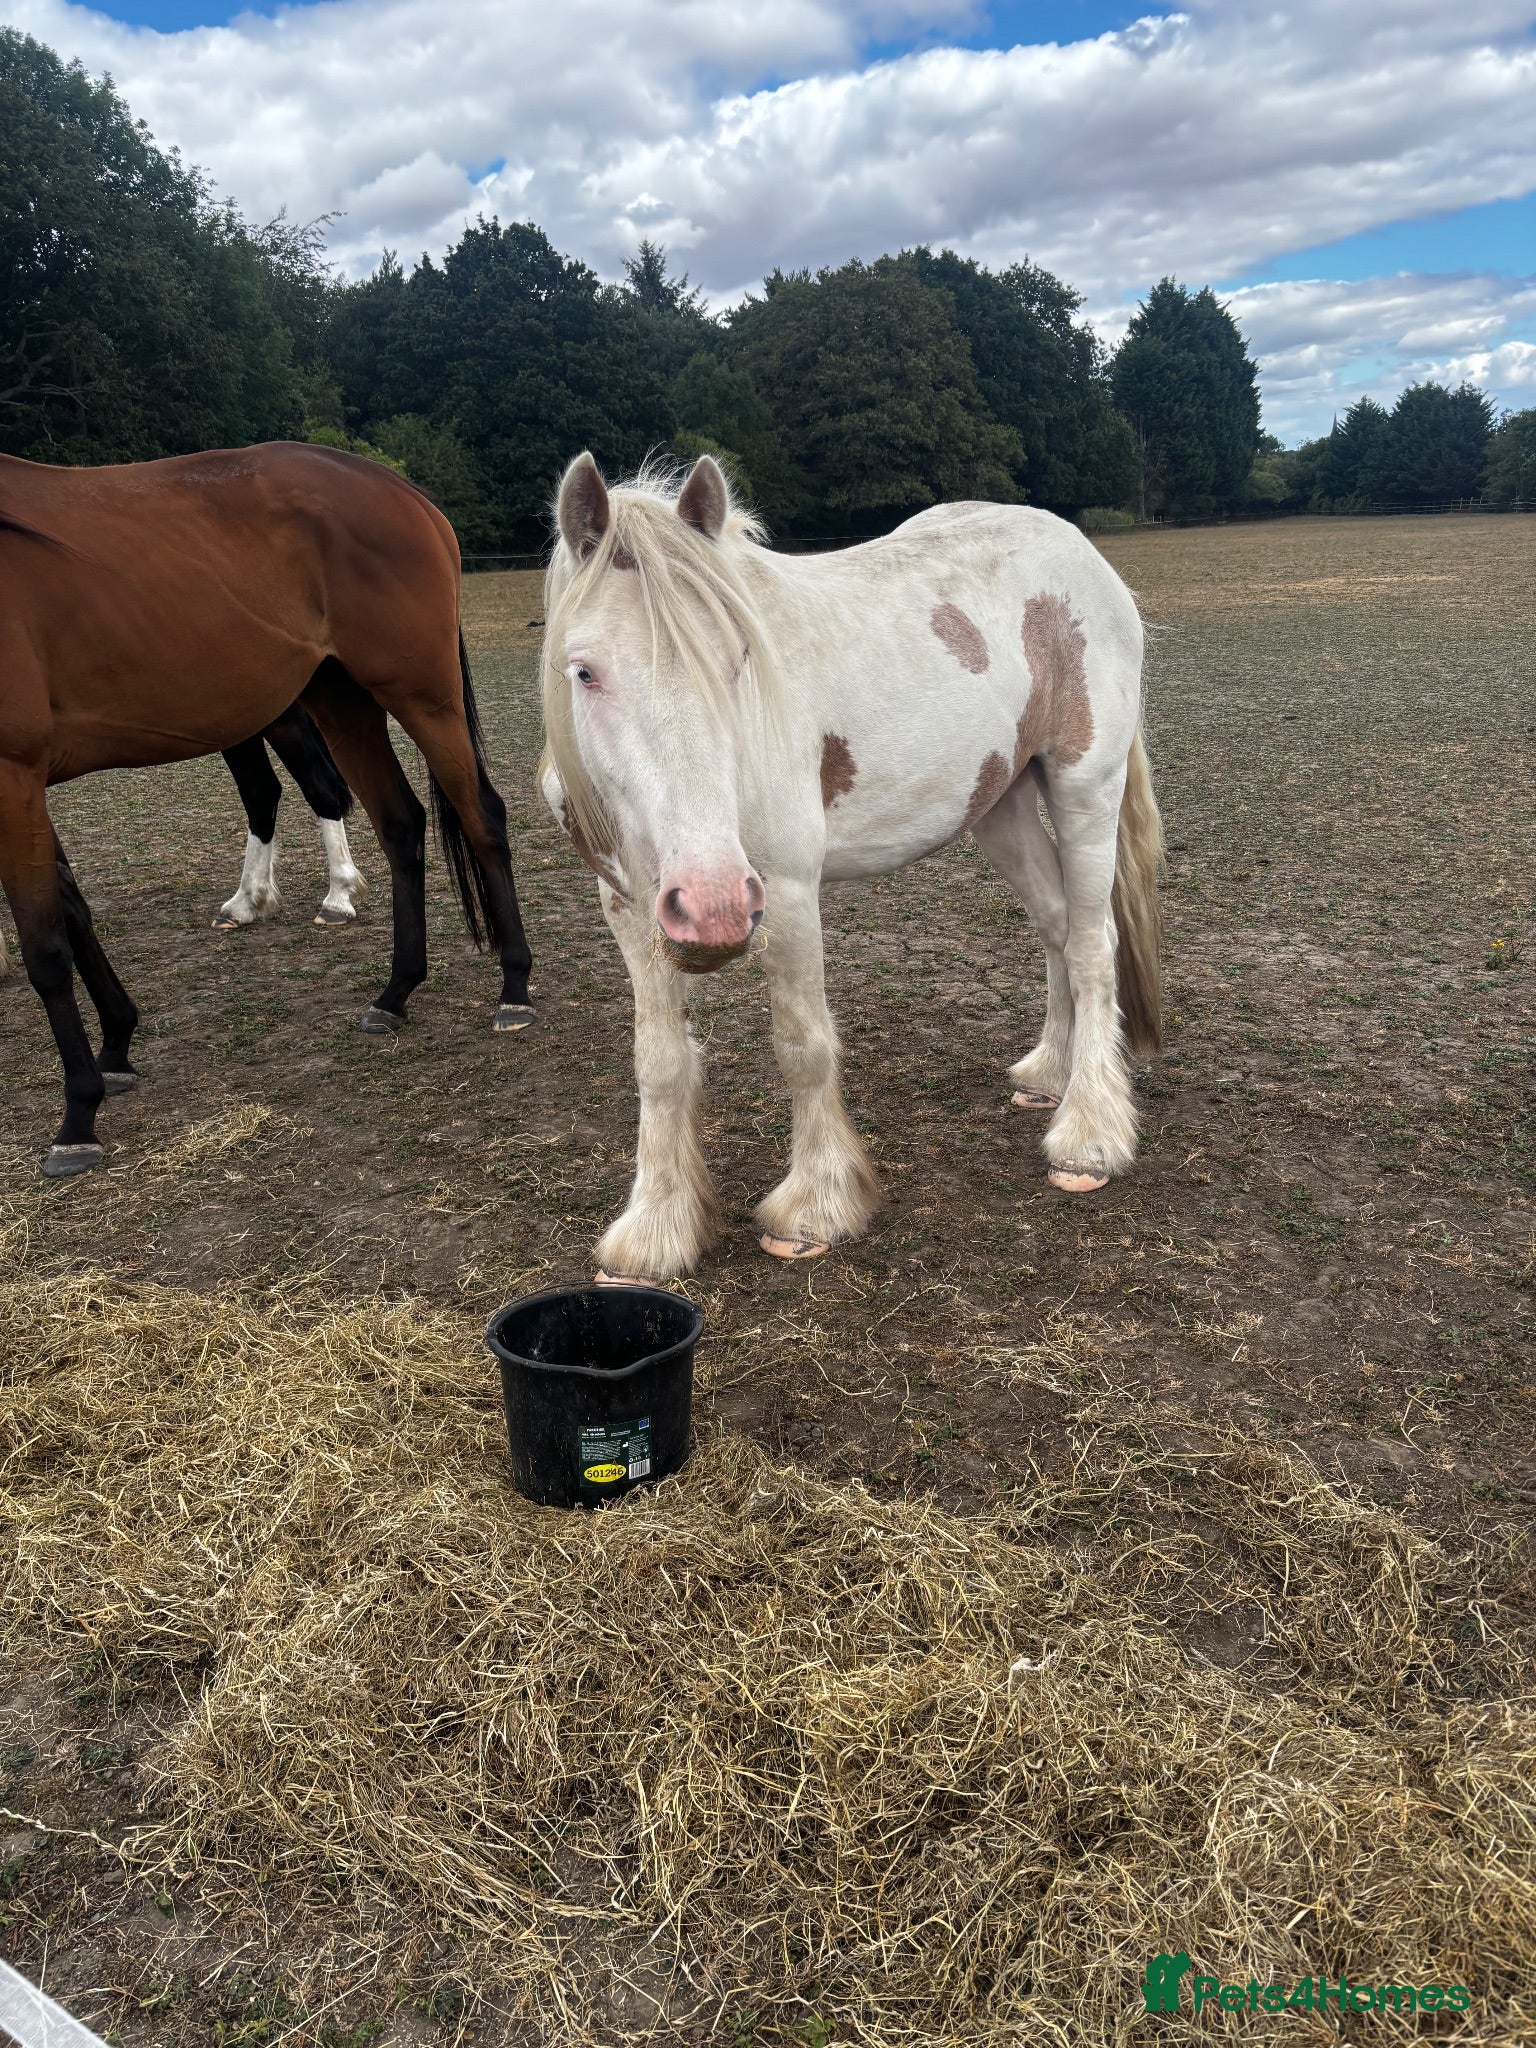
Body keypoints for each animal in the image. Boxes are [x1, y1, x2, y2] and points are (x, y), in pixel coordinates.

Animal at [0, 441, 534, 1178]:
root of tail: (400, 490)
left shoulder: (13, 776)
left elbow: (46, 948)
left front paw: (77, 1114)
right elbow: (73, 913)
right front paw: (116, 1046)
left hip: (421, 694)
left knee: (480, 816)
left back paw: (514, 988)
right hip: (340, 698)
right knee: (399, 824)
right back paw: (395, 992)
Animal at [540, 453, 1163, 1284]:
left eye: (739, 659)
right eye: (584, 672)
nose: (711, 905)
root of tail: (1083, 553)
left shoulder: (785, 892)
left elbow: (802, 1047)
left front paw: (816, 1206)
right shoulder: (629, 906)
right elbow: (660, 1061)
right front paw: (656, 1228)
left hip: (1084, 785)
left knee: (1094, 946)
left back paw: (1089, 1133)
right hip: (1000, 804)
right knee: (1059, 927)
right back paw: (1049, 1075)